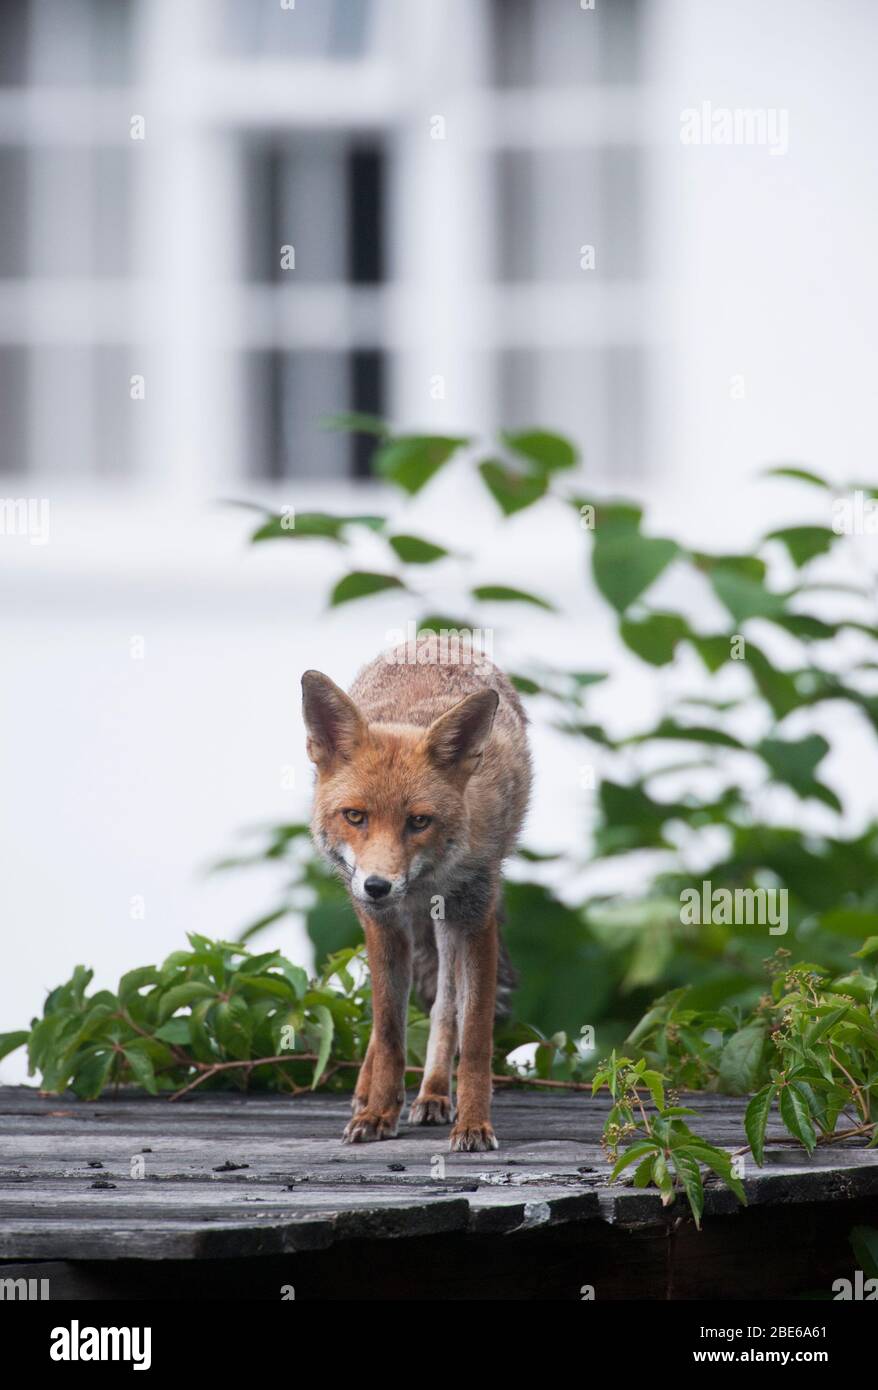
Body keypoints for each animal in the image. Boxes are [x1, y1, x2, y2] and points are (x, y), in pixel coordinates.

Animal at [305, 639, 530, 1150]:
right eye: (355, 816)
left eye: (419, 821)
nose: (378, 885)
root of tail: (441, 639)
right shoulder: (383, 925)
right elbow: (388, 1031)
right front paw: (377, 1113)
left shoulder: (475, 914)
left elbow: (475, 1035)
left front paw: (474, 1123)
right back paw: (370, 1094)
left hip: (448, 925)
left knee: (446, 1005)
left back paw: (433, 1094)